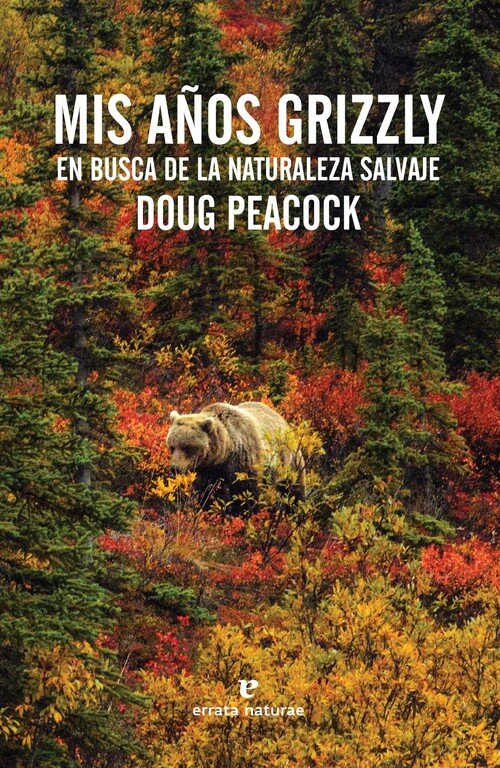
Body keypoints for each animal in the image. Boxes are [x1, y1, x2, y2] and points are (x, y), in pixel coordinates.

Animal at [166, 401, 305, 511]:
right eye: (172, 446)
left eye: (187, 447)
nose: (175, 468)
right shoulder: (207, 471)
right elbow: (206, 493)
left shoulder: (243, 462)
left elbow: (247, 494)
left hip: (289, 462)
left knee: (295, 490)